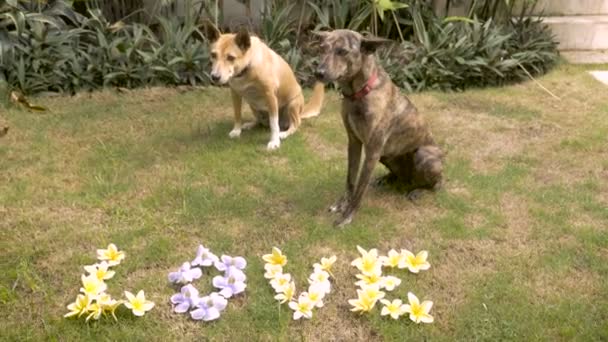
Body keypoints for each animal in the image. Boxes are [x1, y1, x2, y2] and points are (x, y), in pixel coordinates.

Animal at [314, 30, 442, 227]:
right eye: (321, 48)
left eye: (342, 51)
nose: (318, 73)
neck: (358, 94)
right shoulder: (354, 143)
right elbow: (350, 179)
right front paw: (341, 205)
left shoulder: (372, 151)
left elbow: (359, 189)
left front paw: (347, 217)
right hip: (387, 155)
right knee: (400, 176)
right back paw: (387, 179)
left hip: (424, 156)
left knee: (436, 185)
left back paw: (419, 191)